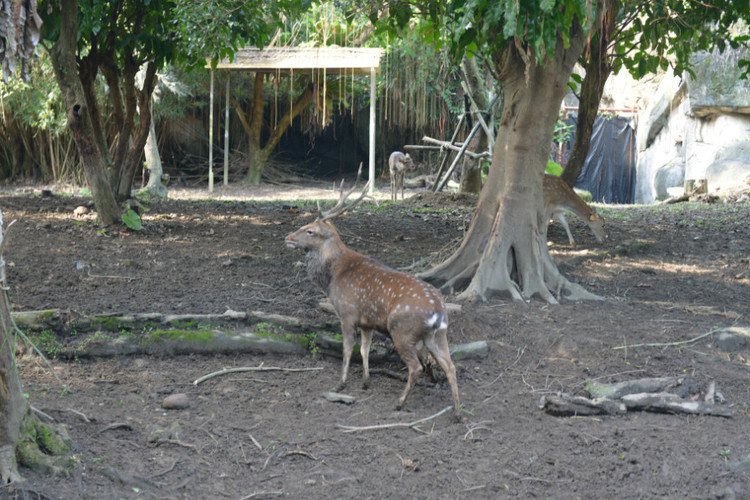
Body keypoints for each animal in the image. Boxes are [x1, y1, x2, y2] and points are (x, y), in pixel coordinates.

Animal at [286, 171, 462, 418]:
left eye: (310, 230)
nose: (288, 237)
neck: (333, 277)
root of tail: (438, 312)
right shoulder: (367, 322)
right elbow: (364, 349)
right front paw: (365, 382)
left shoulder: (347, 313)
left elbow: (347, 349)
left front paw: (341, 384)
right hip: (437, 336)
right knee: (450, 366)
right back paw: (457, 412)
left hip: (402, 331)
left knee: (416, 367)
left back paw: (400, 402)